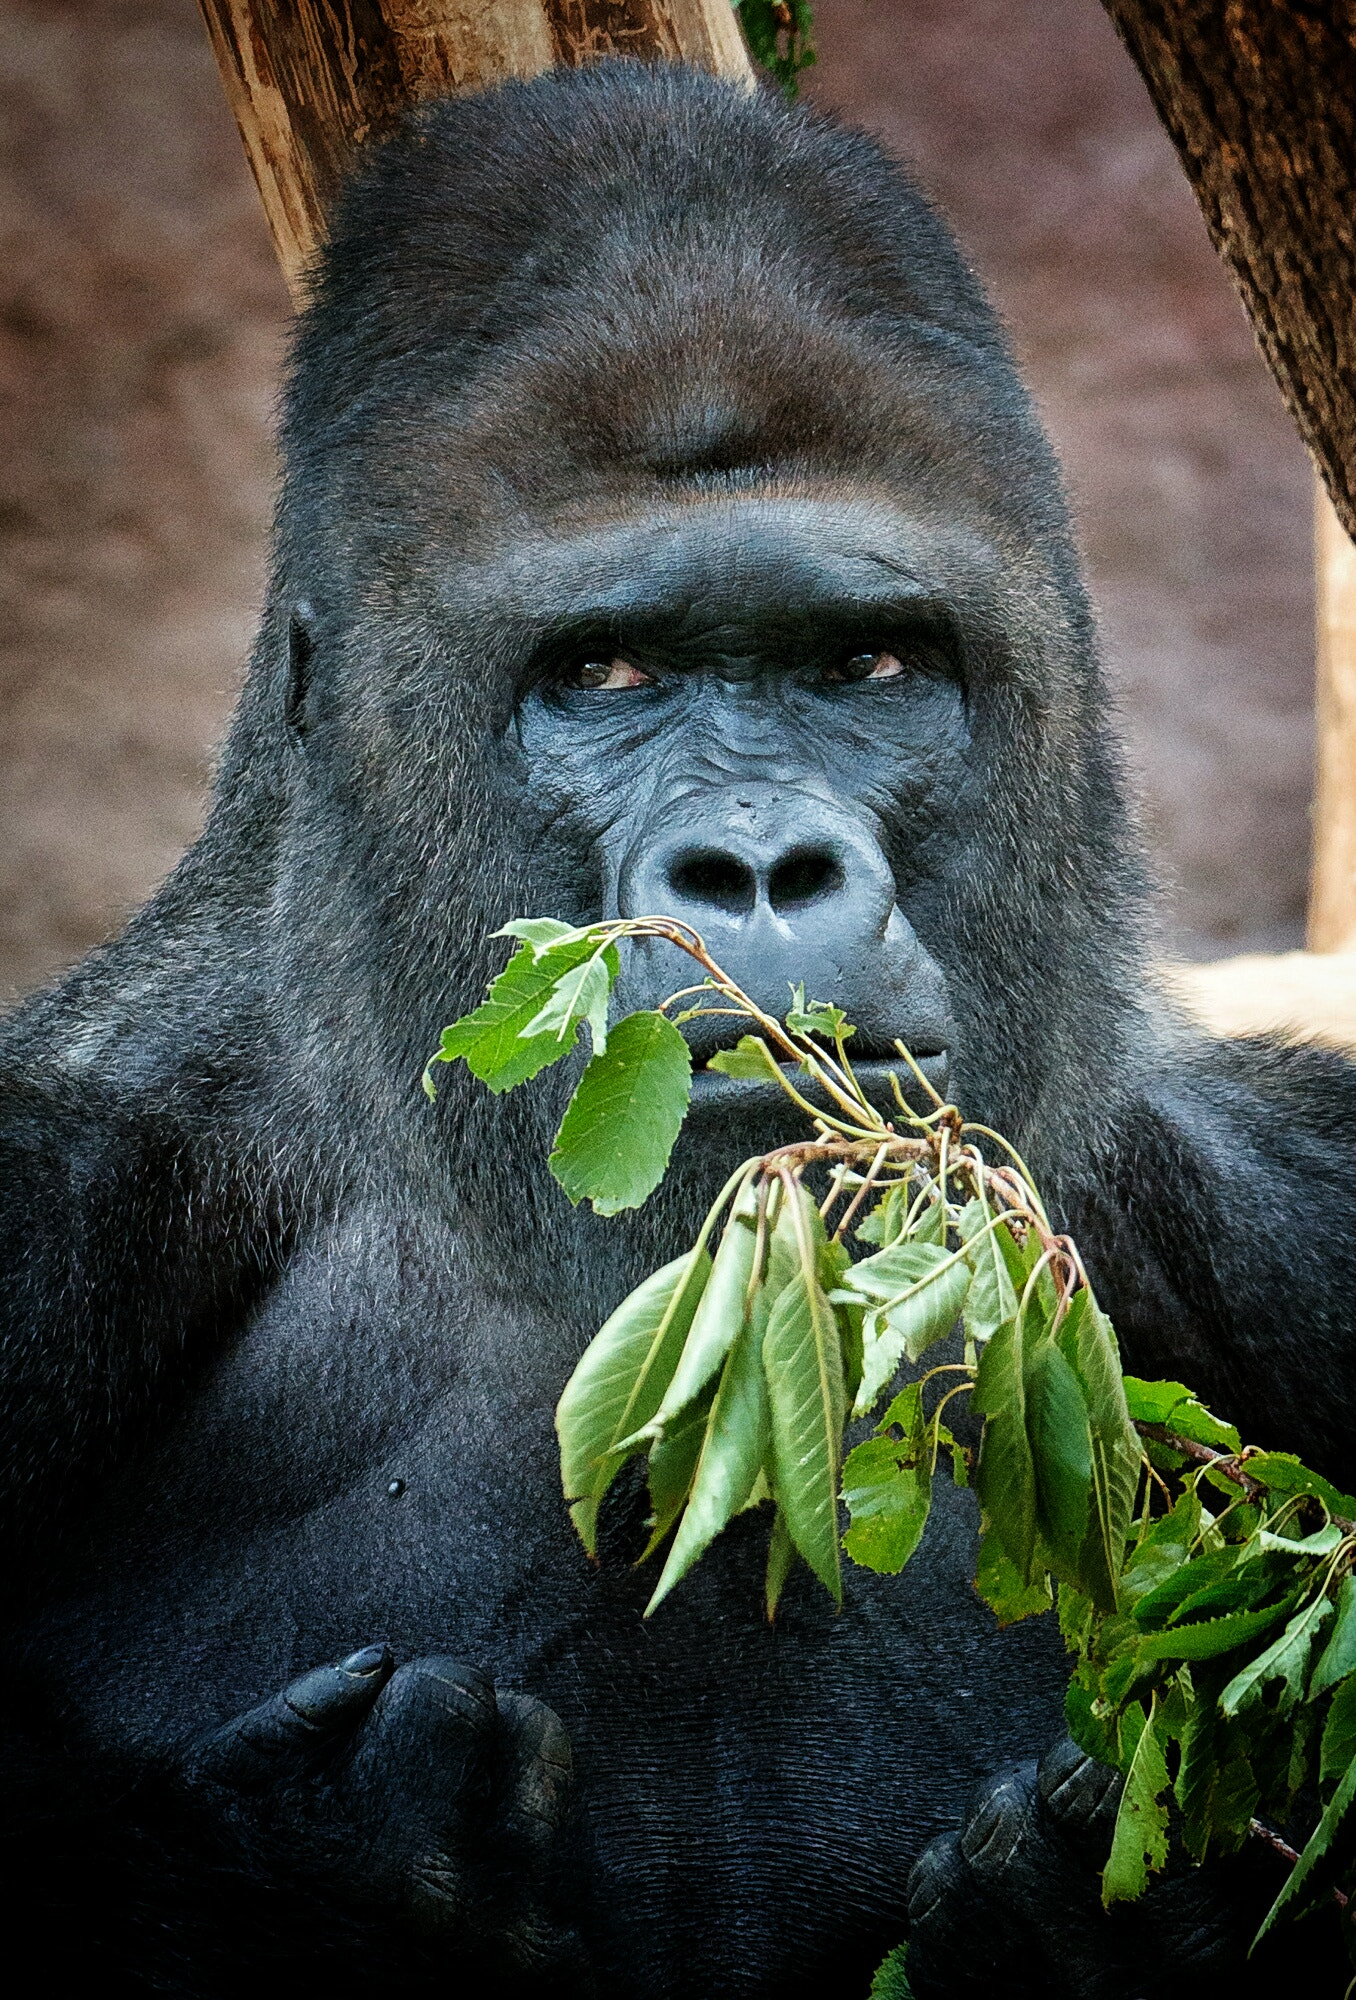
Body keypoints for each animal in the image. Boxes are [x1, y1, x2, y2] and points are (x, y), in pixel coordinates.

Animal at [2, 58, 1356, 2000]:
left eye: (869, 667)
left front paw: (1124, 1918)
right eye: (605, 675)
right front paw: (326, 1876)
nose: (763, 866)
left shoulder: (1284, 1206)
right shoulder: (53, 1184)